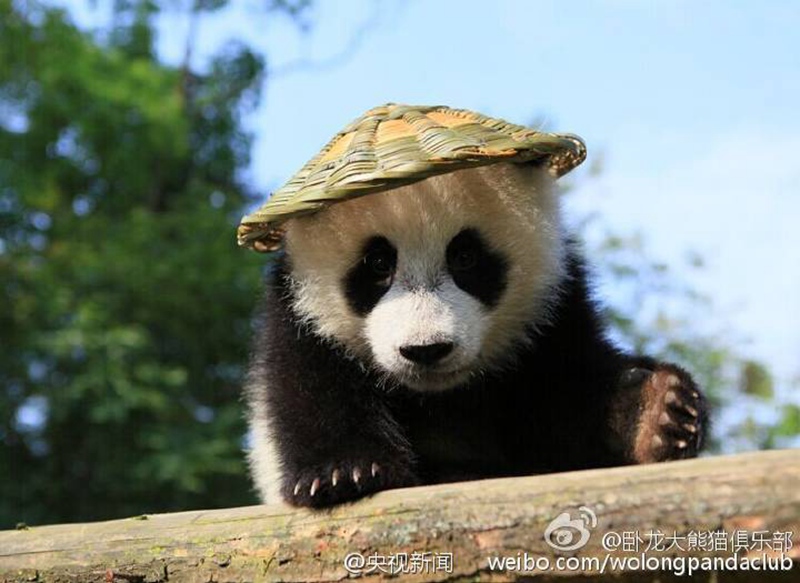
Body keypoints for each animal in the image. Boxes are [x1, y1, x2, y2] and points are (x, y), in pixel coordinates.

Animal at [244, 160, 709, 508]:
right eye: (377, 264)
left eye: (465, 257)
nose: (426, 350)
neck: (438, 397)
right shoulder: (298, 316)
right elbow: (309, 389)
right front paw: (347, 472)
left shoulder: (553, 311)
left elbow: (571, 397)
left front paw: (657, 412)